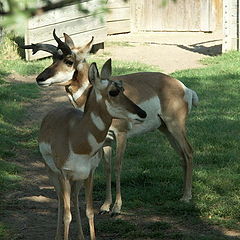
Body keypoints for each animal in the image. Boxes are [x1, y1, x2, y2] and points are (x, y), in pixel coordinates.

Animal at [23, 30, 199, 216]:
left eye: (69, 61)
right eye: (53, 59)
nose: (40, 78)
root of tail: (184, 88)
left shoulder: (121, 135)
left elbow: (117, 166)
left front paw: (117, 207)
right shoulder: (106, 140)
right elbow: (107, 168)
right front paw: (105, 206)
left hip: (175, 126)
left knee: (188, 152)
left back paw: (186, 196)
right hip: (165, 129)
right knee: (182, 155)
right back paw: (183, 193)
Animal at [38, 58, 146, 240]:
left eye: (123, 88)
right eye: (113, 92)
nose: (142, 113)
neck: (77, 137)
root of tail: (50, 114)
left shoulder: (89, 174)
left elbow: (89, 211)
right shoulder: (64, 175)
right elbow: (67, 216)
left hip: (77, 179)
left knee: (74, 198)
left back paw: (81, 236)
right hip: (53, 174)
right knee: (61, 200)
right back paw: (58, 235)